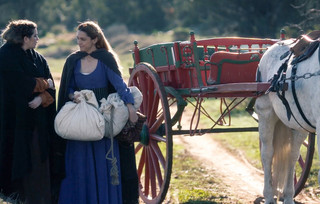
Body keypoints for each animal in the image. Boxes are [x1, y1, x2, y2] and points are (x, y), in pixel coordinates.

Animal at [255, 38, 320, 204]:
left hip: (298, 125)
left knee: (292, 156)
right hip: (266, 114)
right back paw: (269, 195)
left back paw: (288, 196)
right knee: (267, 154)